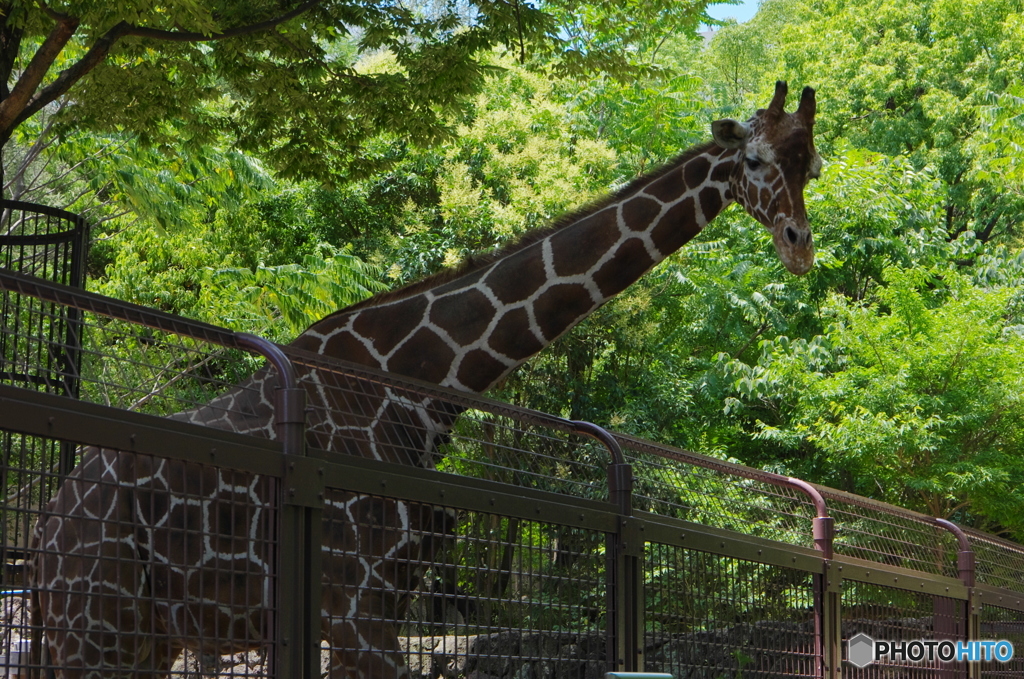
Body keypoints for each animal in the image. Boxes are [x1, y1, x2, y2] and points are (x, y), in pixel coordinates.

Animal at [28, 82, 819, 675]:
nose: (799, 246)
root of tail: (47, 529)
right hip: (98, 629)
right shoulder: (356, 604)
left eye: (810, 165)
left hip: (147, 637)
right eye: (752, 158)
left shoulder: (382, 601)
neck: (424, 381)